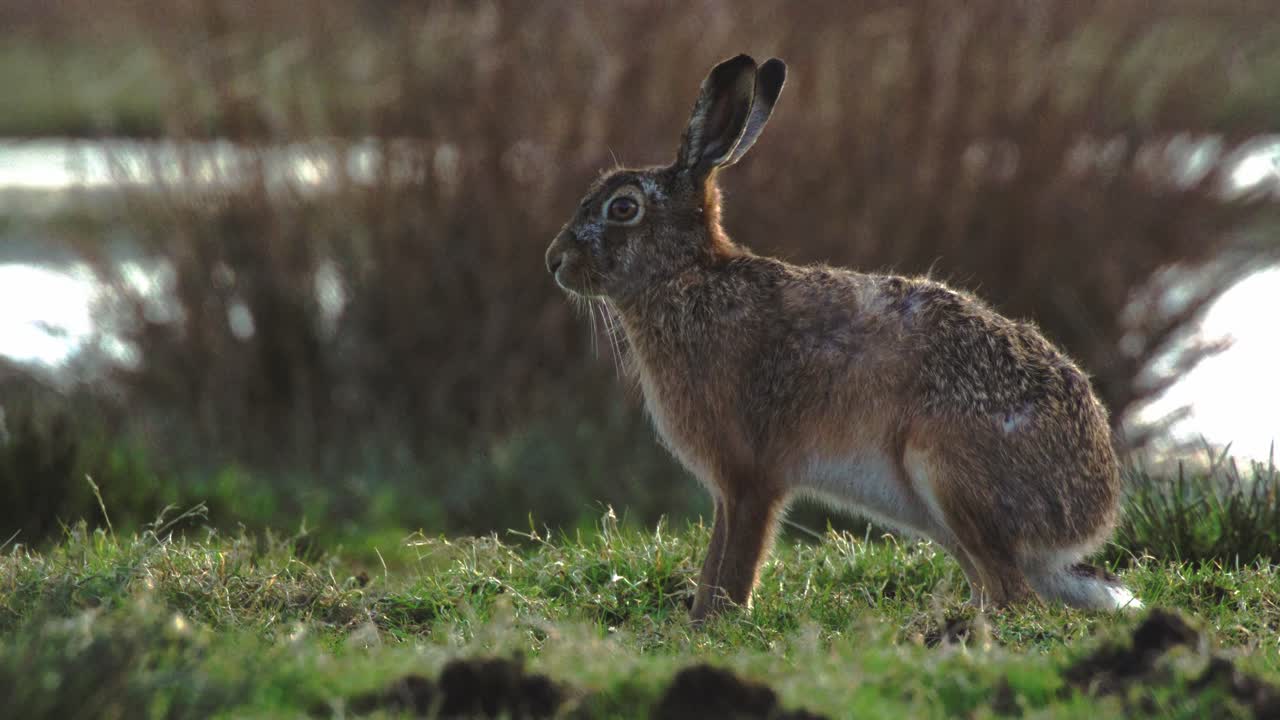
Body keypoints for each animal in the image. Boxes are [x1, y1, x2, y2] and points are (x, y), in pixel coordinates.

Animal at [544, 54, 1141, 620]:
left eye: (623, 207)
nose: (554, 261)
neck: (686, 278)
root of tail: (1092, 511)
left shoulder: (751, 476)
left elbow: (734, 563)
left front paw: (713, 625)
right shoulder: (728, 490)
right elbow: (715, 558)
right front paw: (697, 621)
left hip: (945, 469)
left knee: (1016, 597)